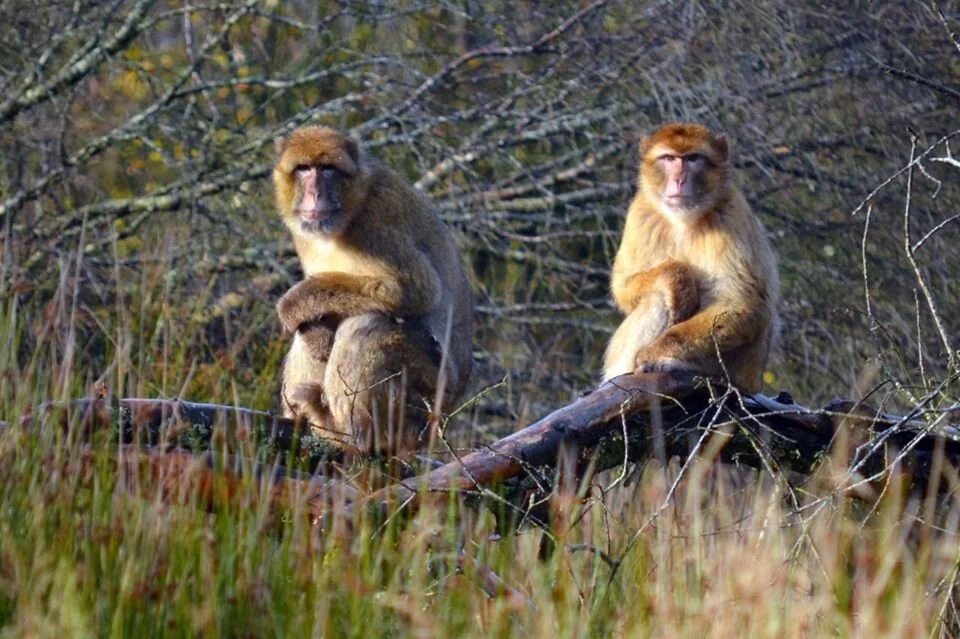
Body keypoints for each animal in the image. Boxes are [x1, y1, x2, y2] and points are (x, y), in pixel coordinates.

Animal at [272, 126, 474, 455]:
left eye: (327, 169)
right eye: (303, 168)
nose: (316, 194)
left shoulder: (376, 222)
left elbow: (414, 290)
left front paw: (295, 302)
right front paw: (314, 330)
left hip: (424, 399)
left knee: (367, 326)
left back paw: (354, 436)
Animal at [602, 122, 779, 393]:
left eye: (693, 158)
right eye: (668, 158)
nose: (679, 179)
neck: (683, 219)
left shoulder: (731, 214)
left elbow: (744, 303)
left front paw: (653, 353)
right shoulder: (640, 215)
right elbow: (622, 286)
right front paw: (677, 279)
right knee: (657, 297)